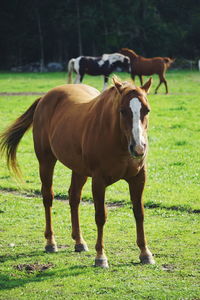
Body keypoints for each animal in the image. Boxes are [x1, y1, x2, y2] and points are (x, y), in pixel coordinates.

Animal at [0, 77, 155, 268]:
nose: (138, 148)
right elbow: (100, 216)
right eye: (122, 111)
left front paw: (145, 253)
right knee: (48, 197)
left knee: (74, 198)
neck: (117, 139)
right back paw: (51, 242)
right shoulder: (99, 180)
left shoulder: (138, 178)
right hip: (46, 161)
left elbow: (139, 213)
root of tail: (44, 98)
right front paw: (100, 256)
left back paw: (79, 241)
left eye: (146, 110)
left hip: (79, 170)